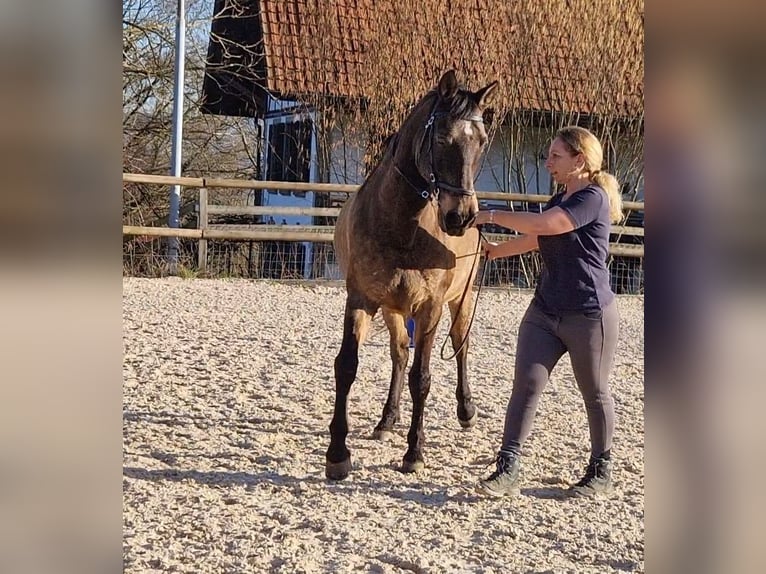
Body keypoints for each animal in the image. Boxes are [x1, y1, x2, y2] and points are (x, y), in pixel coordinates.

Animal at [325, 70, 498, 480]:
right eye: (441, 138)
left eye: (482, 141)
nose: (460, 217)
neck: (401, 224)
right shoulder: (361, 299)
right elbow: (347, 367)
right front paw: (337, 453)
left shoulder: (430, 308)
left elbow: (422, 378)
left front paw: (414, 452)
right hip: (392, 308)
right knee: (400, 353)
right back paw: (387, 419)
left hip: (462, 300)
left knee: (460, 345)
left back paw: (466, 411)